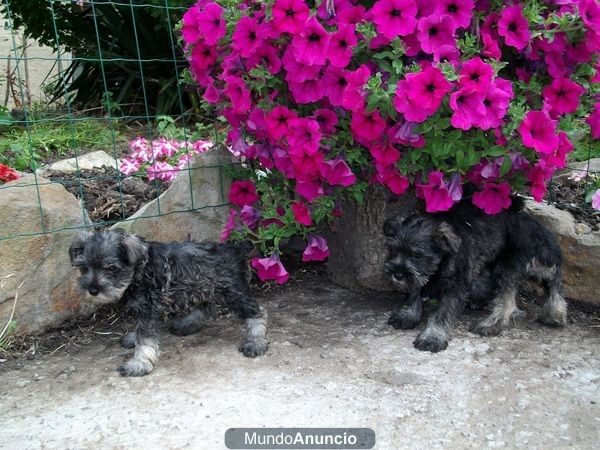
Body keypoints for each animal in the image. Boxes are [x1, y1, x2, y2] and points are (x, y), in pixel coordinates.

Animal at [69, 229, 268, 376]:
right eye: (84, 267)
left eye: (111, 268)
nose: (92, 290)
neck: (139, 270)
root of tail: (236, 249)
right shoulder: (144, 310)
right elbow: (140, 331)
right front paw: (133, 338)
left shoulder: (148, 310)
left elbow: (145, 338)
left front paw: (138, 363)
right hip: (202, 287)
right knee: (205, 308)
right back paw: (186, 324)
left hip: (233, 293)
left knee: (258, 312)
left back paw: (256, 342)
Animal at [384, 199, 568, 354]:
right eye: (394, 250)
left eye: (417, 255)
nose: (397, 275)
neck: (443, 259)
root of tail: (541, 239)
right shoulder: (424, 277)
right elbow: (414, 293)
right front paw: (408, 316)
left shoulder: (455, 287)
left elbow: (442, 313)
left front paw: (432, 337)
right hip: (533, 266)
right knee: (555, 285)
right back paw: (556, 316)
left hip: (507, 266)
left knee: (508, 302)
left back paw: (490, 325)